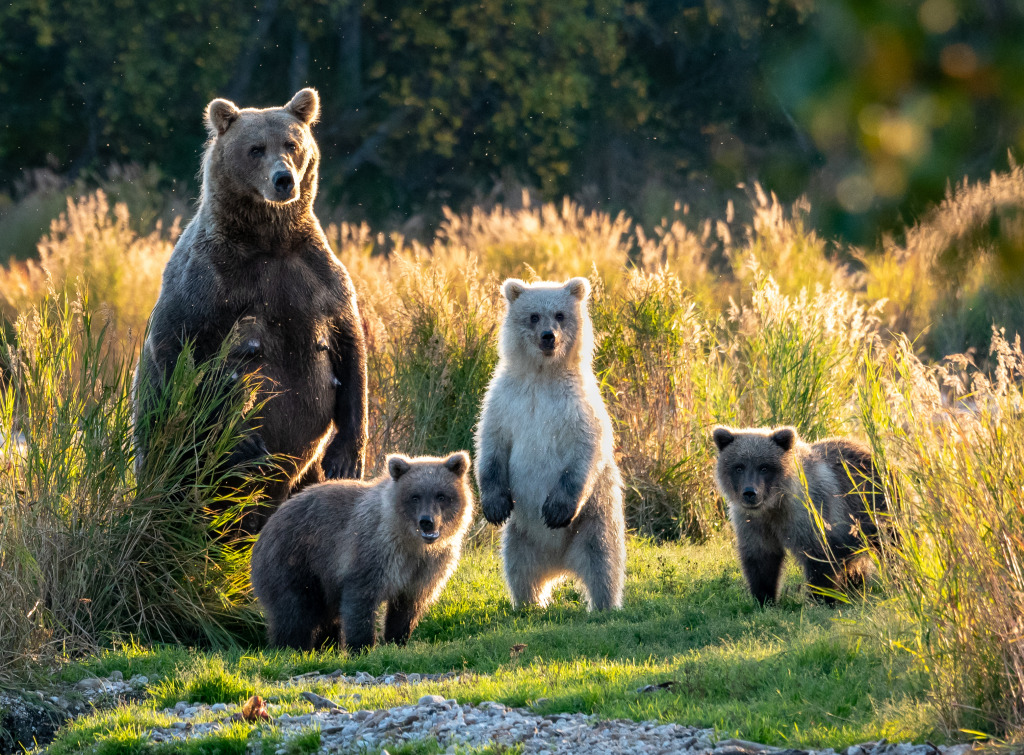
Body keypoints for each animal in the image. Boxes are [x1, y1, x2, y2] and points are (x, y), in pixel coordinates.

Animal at [134, 88, 368, 528]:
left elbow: (350, 348)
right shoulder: (209, 280)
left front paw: (346, 456)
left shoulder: (316, 276)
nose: (284, 179)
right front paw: (243, 443)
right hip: (169, 457)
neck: (269, 240)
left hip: (303, 477)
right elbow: (180, 348)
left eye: (291, 144)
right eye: (255, 148)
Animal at [249, 450, 473, 651]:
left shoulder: (426, 568)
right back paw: (292, 647)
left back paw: (327, 646)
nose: (427, 521)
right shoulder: (373, 552)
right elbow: (360, 601)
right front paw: (362, 646)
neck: (411, 543)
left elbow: (407, 608)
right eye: (415, 496)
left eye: (441, 495)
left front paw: (397, 640)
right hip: (294, 560)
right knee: (294, 611)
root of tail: (266, 528)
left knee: (325, 615)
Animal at [473, 280, 622, 610]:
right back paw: (530, 603)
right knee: (519, 568)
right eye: (533, 316)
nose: (548, 337)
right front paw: (494, 505)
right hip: (521, 536)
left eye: (560, 314)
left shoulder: (579, 406)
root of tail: (560, 565)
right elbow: (490, 445)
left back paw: (603, 605)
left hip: (594, 518)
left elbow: (586, 449)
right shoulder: (505, 401)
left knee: (603, 561)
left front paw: (555, 510)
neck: (543, 374)